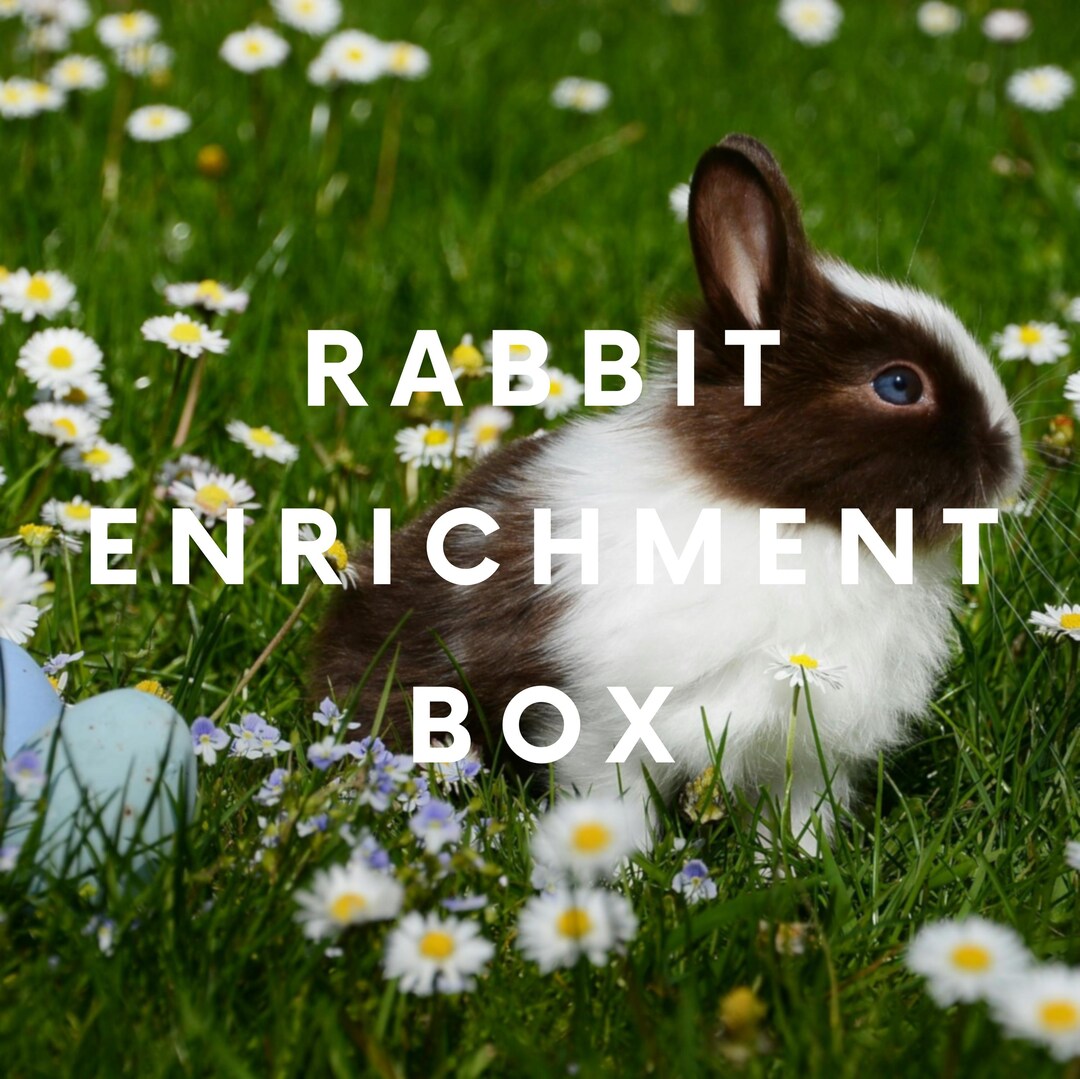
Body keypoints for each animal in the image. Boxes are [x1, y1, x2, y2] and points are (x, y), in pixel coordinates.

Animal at [311, 134, 1024, 848]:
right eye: (899, 385)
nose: (1011, 461)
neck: (784, 518)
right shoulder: (600, 723)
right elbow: (610, 804)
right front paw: (617, 865)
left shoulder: (806, 751)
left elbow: (797, 817)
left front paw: (792, 864)